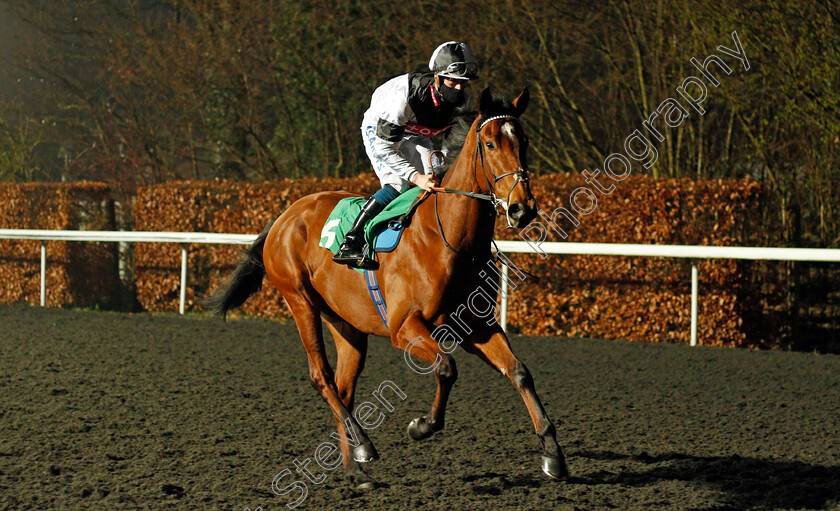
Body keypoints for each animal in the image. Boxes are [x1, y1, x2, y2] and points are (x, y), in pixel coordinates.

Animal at [207, 87, 568, 488]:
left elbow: (519, 371)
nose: (523, 209)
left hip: (346, 322)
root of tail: (284, 217)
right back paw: (363, 446)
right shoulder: (404, 327)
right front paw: (421, 426)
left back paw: (354, 469)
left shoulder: (476, 325)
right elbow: (447, 368)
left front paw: (553, 455)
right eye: (489, 143)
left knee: (343, 387)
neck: (448, 236)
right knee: (322, 378)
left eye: (525, 141)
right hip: (299, 301)